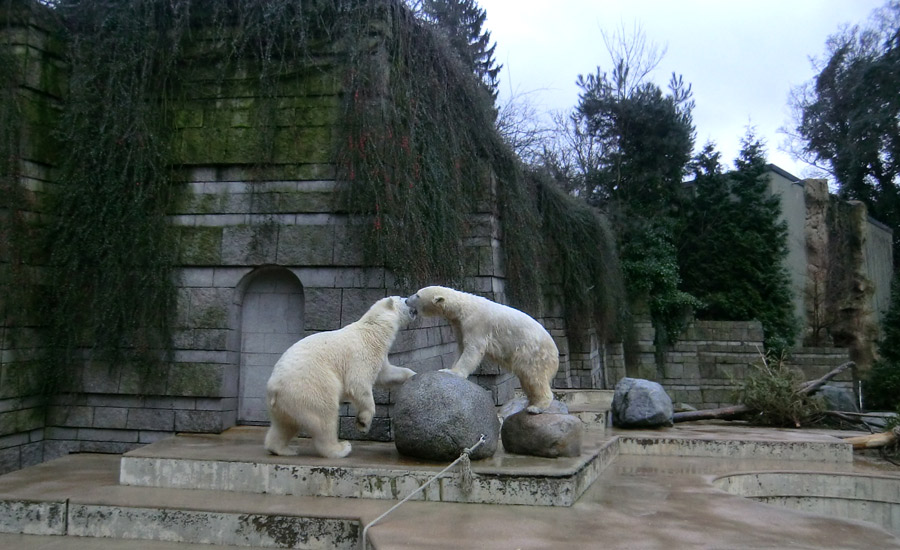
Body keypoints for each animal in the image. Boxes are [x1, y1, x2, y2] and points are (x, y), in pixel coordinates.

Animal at [264, 296, 418, 460]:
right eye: (404, 299)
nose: (414, 306)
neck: (373, 331)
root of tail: (274, 388)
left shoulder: (378, 355)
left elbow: (386, 375)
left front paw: (413, 374)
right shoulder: (361, 353)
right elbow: (358, 383)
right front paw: (363, 423)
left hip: (285, 404)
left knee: (284, 425)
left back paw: (283, 449)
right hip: (310, 388)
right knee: (324, 417)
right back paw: (340, 448)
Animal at [406, 288, 556, 414]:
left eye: (417, 295)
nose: (406, 300)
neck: (463, 307)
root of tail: (555, 352)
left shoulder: (476, 324)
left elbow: (472, 349)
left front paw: (453, 372)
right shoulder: (459, 326)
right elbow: (461, 347)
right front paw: (447, 368)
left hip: (532, 353)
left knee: (534, 377)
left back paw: (536, 407)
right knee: (527, 379)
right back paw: (530, 403)